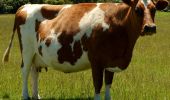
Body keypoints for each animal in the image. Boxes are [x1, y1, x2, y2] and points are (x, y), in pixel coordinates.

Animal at [1, 0, 168, 99]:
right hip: (27, 51)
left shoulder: (111, 61)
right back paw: (25, 96)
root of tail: (26, 5)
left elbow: (108, 84)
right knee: (25, 71)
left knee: (35, 72)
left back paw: (36, 96)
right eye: (137, 9)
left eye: (154, 9)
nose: (150, 27)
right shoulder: (96, 61)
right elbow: (98, 85)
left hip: (37, 54)